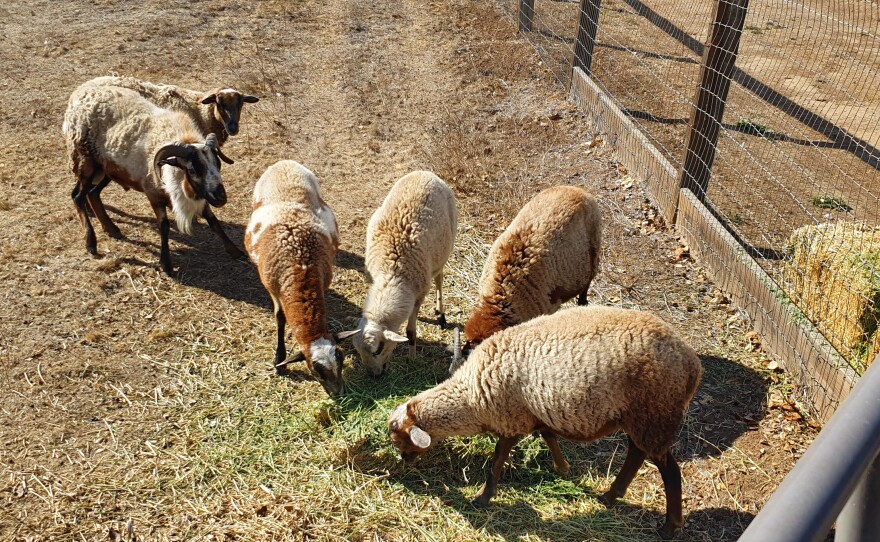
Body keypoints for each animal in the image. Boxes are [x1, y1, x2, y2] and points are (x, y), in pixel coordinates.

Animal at [63, 82, 242, 275]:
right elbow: (164, 226)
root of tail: (78, 93)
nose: (221, 198)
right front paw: (166, 264)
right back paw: (91, 243)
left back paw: (112, 229)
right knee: (78, 197)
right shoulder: (154, 193)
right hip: (86, 163)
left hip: (107, 169)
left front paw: (236, 251)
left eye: (218, 164)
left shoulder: (201, 194)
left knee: (93, 194)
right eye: (192, 170)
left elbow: (213, 220)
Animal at [244, 160, 343, 396]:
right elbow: (280, 317)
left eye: (341, 361)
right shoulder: (273, 288)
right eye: (316, 371)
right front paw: (278, 360)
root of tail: (284, 163)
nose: (340, 394)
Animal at [337, 171, 457, 376]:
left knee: (439, 278)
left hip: (444, 251)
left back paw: (441, 314)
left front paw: (412, 358)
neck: (391, 275)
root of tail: (424, 172)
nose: (374, 376)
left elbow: (410, 332)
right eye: (357, 351)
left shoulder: (419, 293)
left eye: (378, 349)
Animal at [388, 305, 703, 539]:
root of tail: (692, 365)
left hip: (655, 414)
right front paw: (562, 468)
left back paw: (670, 526)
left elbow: (497, 460)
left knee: (669, 470)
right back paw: (610, 497)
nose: (404, 461)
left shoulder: (511, 418)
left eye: (398, 435)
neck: (471, 398)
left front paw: (483, 497)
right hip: (638, 418)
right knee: (636, 453)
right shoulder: (533, 414)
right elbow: (548, 437)